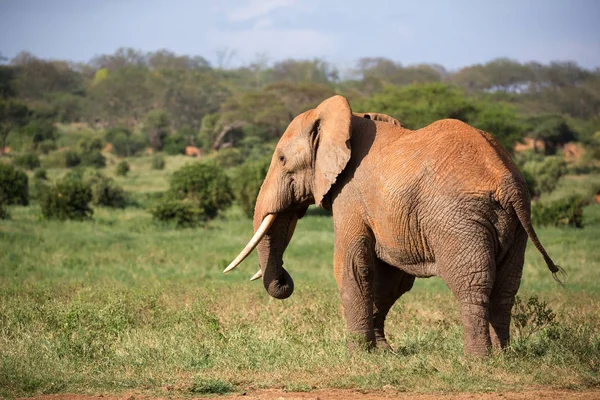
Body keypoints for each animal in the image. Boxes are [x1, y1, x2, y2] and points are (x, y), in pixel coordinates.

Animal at [225, 94, 564, 356]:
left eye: (282, 159)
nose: (284, 279)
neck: (345, 120)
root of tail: (508, 181)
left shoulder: (350, 194)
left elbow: (351, 265)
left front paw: (357, 355)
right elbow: (390, 279)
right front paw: (384, 353)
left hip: (459, 220)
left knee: (472, 284)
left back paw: (477, 360)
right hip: (514, 224)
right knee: (506, 287)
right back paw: (503, 358)